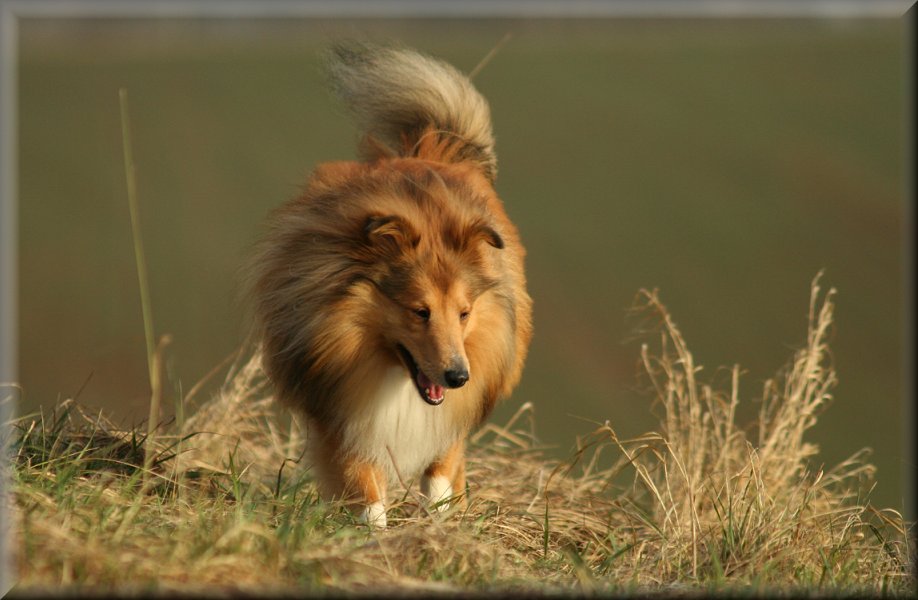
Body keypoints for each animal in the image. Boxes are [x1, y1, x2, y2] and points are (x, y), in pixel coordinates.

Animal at [248, 43, 536, 528]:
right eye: (419, 311)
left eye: (464, 313)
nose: (458, 376)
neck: (393, 378)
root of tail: (428, 149)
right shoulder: (340, 414)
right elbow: (364, 489)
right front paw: (375, 537)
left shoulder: (452, 415)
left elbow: (441, 473)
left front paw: (438, 527)